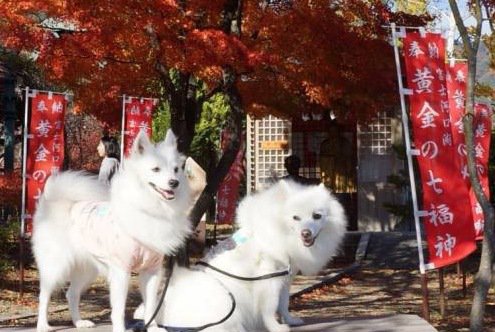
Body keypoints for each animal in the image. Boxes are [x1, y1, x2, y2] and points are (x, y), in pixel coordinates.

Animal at [31, 130, 194, 332]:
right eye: (156, 169)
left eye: (176, 170)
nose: (174, 182)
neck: (153, 209)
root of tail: (54, 204)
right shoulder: (121, 270)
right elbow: (119, 309)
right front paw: (120, 327)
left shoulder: (152, 270)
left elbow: (151, 306)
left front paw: (153, 327)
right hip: (56, 266)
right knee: (44, 295)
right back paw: (43, 325)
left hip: (87, 269)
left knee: (71, 294)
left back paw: (79, 322)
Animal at [153, 180, 346, 332]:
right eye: (295, 218)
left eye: (317, 216)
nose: (306, 233)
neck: (281, 232)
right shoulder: (268, 279)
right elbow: (270, 307)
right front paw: (276, 327)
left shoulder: (285, 278)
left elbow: (283, 303)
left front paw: (290, 320)